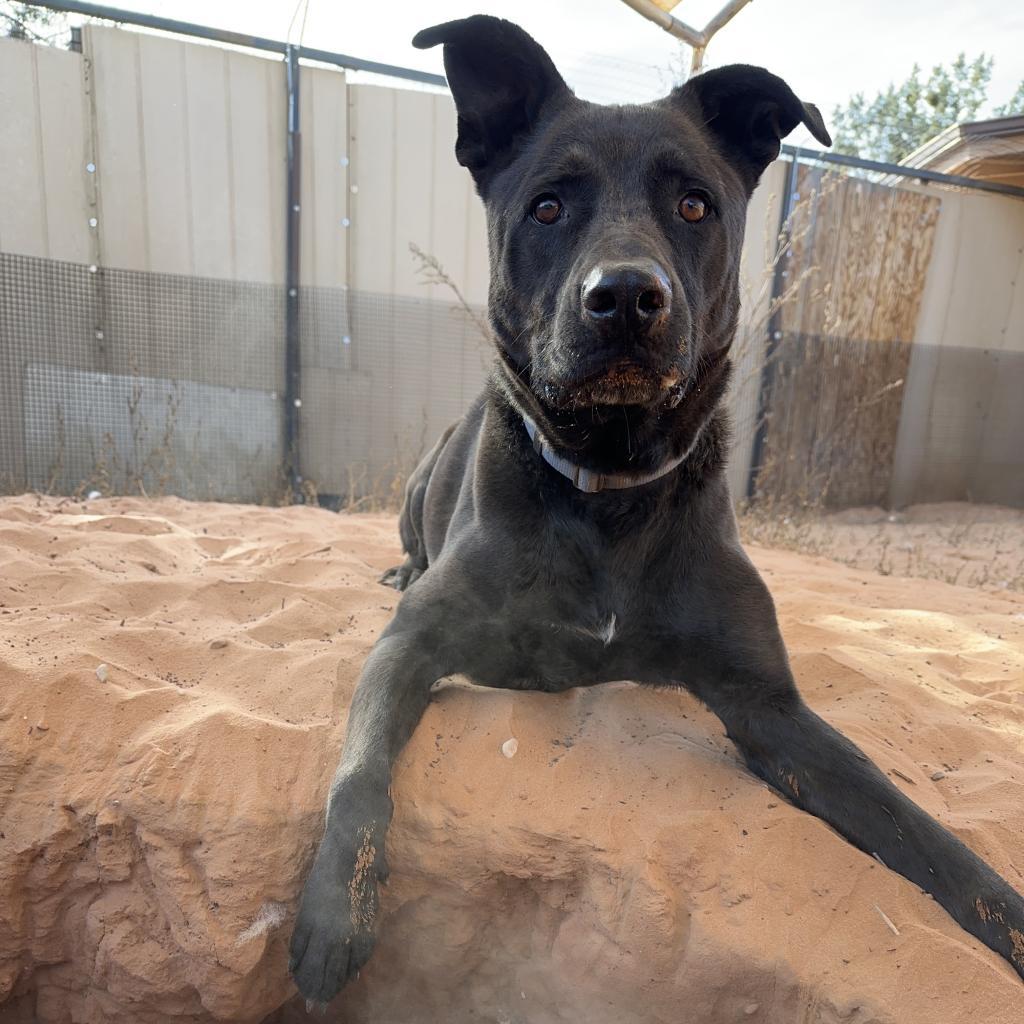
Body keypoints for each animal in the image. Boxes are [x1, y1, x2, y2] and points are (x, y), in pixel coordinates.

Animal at [288, 16, 1024, 1003]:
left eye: (695, 206)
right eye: (548, 208)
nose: (628, 298)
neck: (610, 492)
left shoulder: (770, 706)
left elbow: (922, 831)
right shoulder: (410, 644)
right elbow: (360, 770)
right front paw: (336, 912)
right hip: (418, 478)